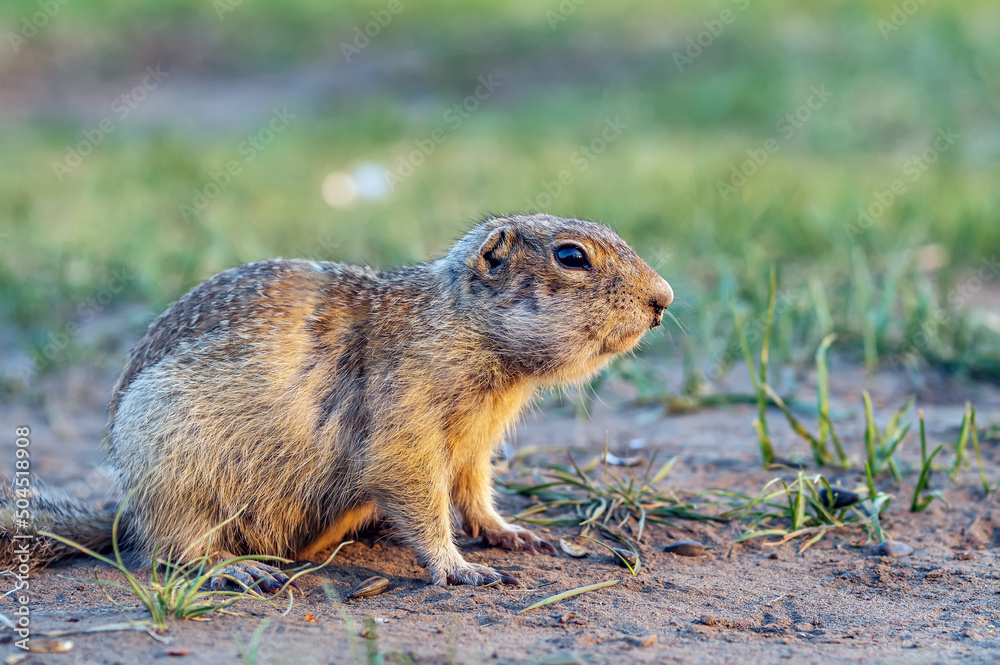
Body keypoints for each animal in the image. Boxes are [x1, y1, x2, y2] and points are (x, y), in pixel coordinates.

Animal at [1, 213, 672, 588]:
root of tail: (126, 511)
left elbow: (473, 488)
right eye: (571, 256)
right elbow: (414, 486)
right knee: (170, 549)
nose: (663, 298)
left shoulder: (475, 438)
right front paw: (459, 567)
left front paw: (513, 534)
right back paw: (233, 568)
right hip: (172, 472)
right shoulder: (406, 410)